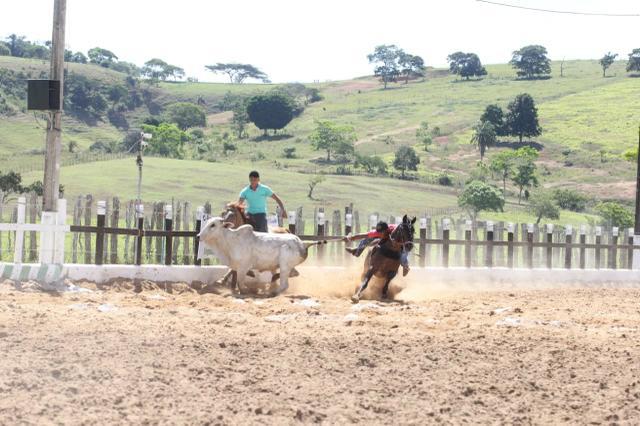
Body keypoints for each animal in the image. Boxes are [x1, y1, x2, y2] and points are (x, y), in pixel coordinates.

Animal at [196, 218, 324, 294]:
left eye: (213, 225)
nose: (198, 236)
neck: (231, 240)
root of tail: (303, 243)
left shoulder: (243, 267)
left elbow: (240, 282)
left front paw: (246, 291)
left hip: (284, 265)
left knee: (285, 285)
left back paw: (272, 292)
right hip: (289, 266)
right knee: (294, 273)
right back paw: (273, 280)